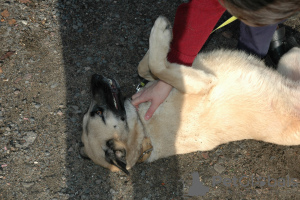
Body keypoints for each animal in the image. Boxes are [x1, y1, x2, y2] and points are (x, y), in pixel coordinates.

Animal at [79, 16, 300, 174]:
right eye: (98, 112)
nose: (93, 77)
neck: (143, 129)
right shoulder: (202, 82)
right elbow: (158, 66)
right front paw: (161, 32)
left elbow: (146, 67)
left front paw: (162, 41)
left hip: (287, 61)